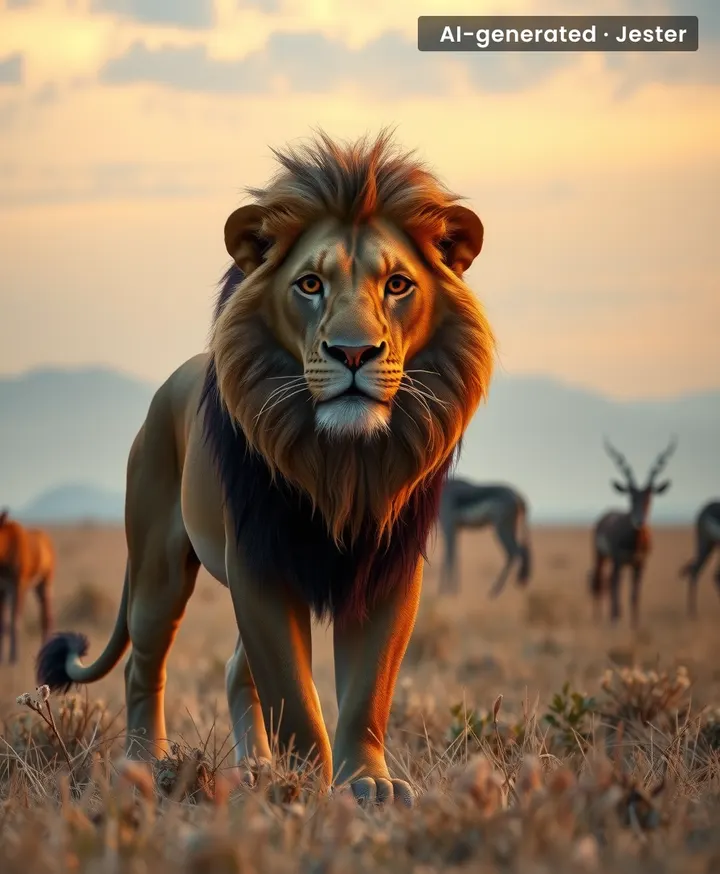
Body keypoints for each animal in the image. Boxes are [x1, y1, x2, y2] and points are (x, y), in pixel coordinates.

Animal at [0, 509, 55, 664]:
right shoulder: (2, 589)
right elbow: (2, 624)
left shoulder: (19, 586)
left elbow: (15, 621)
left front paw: (13, 658)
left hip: (45, 584)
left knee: (46, 618)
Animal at [36, 129, 495, 805]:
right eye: (309, 285)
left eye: (397, 285)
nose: (353, 352)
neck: (342, 465)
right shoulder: (259, 562)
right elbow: (294, 696)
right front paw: (306, 785)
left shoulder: (387, 567)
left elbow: (368, 691)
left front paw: (368, 784)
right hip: (157, 567)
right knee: (145, 665)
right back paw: (150, 764)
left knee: (233, 671)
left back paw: (253, 767)